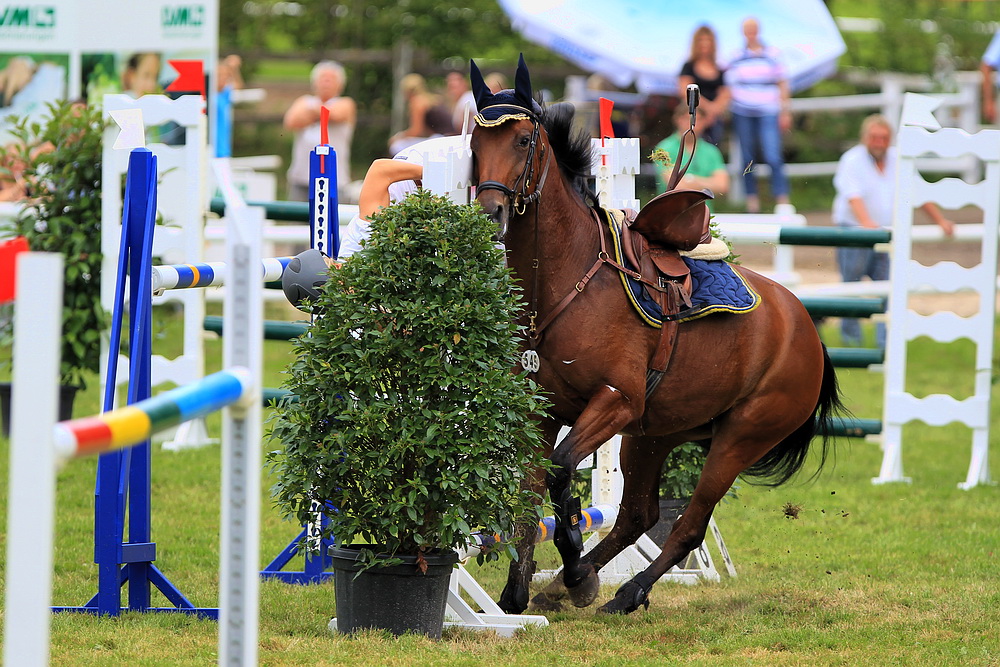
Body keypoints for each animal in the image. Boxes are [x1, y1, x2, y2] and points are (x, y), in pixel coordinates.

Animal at [468, 56, 844, 616]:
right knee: (637, 516)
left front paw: (574, 569)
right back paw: (570, 586)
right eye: (475, 140)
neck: (568, 278)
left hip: (737, 438)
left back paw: (625, 590)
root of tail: (805, 328)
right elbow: (529, 496)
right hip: (655, 435)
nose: (490, 211)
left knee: (688, 524)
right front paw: (518, 593)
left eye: (523, 139)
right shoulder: (542, 413)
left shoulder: (616, 401)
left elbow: (561, 472)